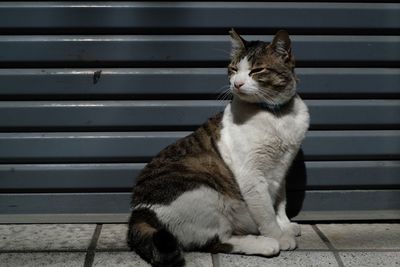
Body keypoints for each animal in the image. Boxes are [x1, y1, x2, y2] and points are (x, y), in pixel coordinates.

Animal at [127, 29, 310, 267]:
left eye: (257, 70)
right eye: (233, 69)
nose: (237, 84)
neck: (275, 114)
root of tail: (139, 212)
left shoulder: (282, 170)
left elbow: (280, 202)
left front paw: (285, 225)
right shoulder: (252, 176)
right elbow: (266, 213)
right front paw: (279, 235)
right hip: (205, 194)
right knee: (217, 241)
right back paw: (265, 244)